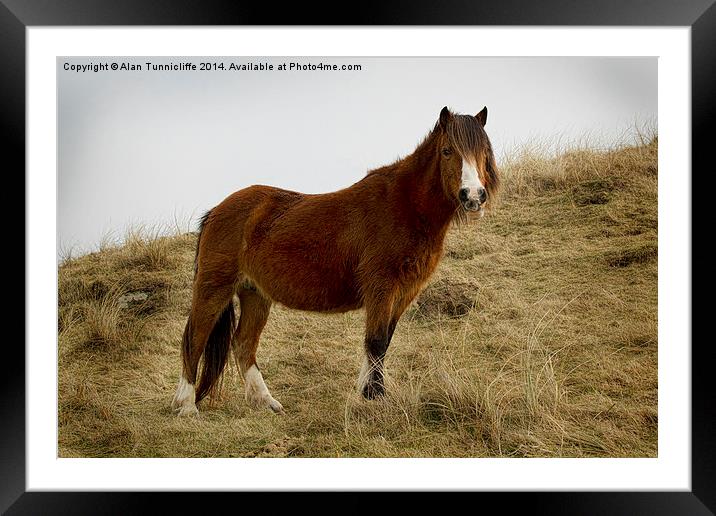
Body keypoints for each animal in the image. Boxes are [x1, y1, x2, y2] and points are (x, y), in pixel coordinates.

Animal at [173, 105, 498, 416]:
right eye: (447, 151)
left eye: (483, 150)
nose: (473, 196)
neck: (405, 207)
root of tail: (216, 211)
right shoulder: (382, 289)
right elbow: (375, 341)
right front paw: (375, 398)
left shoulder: (404, 293)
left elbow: (383, 342)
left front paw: (369, 393)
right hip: (214, 288)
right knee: (195, 338)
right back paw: (187, 406)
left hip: (255, 294)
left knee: (243, 344)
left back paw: (265, 402)